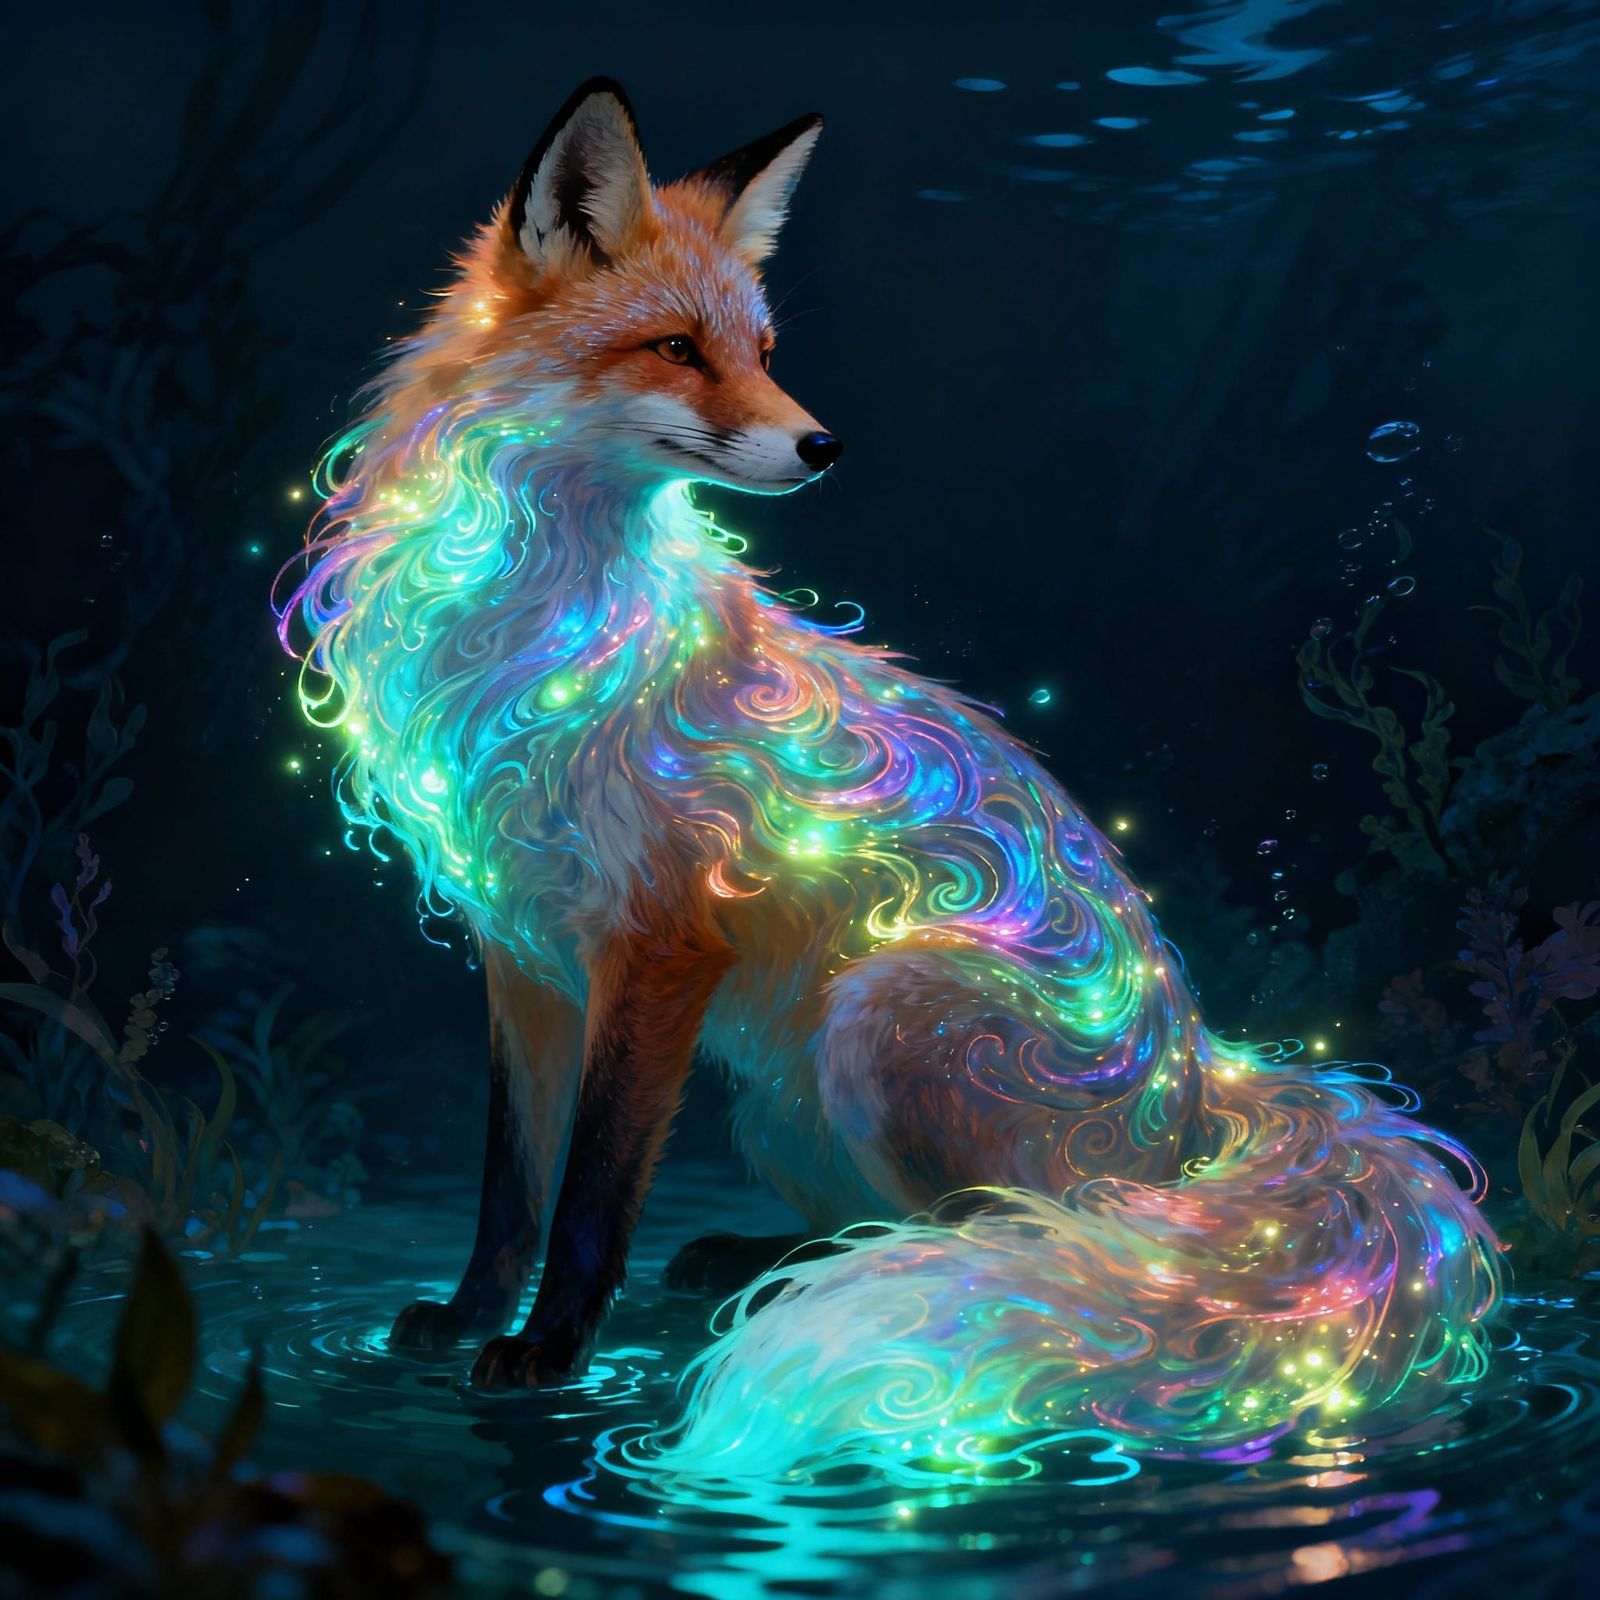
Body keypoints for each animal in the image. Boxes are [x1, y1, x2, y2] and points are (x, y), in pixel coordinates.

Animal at [281, 79, 1498, 1476]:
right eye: (677, 349)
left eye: (760, 345)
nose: (825, 444)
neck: (531, 614)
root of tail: (1201, 1088)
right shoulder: (522, 946)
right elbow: (511, 1184)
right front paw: (475, 1315)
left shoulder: (659, 938)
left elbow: (591, 1194)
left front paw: (549, 1351)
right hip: (779, 1098)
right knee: (892, 1226)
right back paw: (763, 1259)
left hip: (877, 1015)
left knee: (1024, 1238)